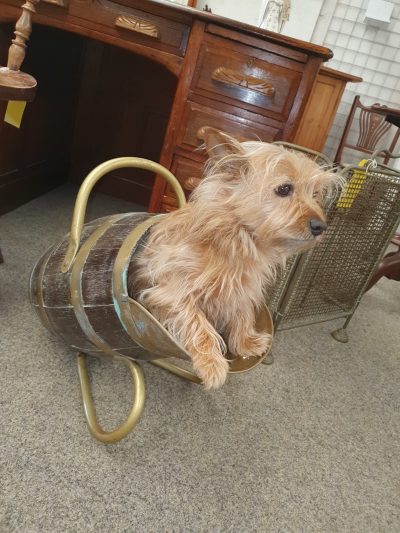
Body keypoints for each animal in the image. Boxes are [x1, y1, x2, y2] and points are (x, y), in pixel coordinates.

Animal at [129, 127, 340, 388]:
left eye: (316, 193)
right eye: (284, 189)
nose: (320, 226)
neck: (237, 241)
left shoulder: (244, 288)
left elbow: (243, 313)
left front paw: (246, 343)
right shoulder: (170, 291)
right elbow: (197, 322)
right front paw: (212, 363)